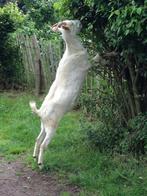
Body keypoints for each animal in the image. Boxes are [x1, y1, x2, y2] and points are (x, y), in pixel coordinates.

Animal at [29, 19, 91, 168]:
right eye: (72, 22)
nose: (80, 21)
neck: (72, 50)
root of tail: (40, 112)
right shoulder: (87, 64)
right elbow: (98, 59)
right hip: (52, 127)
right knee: (43, 144)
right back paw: (41, 164)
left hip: (43, 126)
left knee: (38, 139)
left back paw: (34, 156)